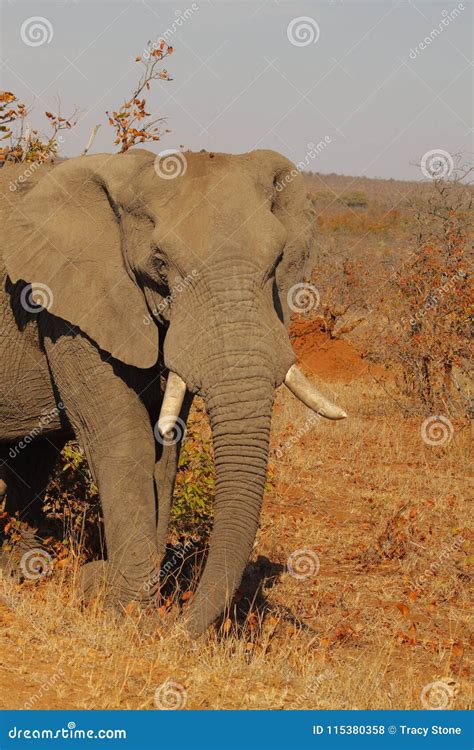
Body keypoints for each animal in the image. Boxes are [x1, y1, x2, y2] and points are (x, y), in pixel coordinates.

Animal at [0, 150, 348, 636]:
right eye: (161, 264)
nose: (179, 626)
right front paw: (127, 614)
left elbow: (164, 451)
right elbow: (122, 440)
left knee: (31, 457)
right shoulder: (65, 306)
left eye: (278, 260)